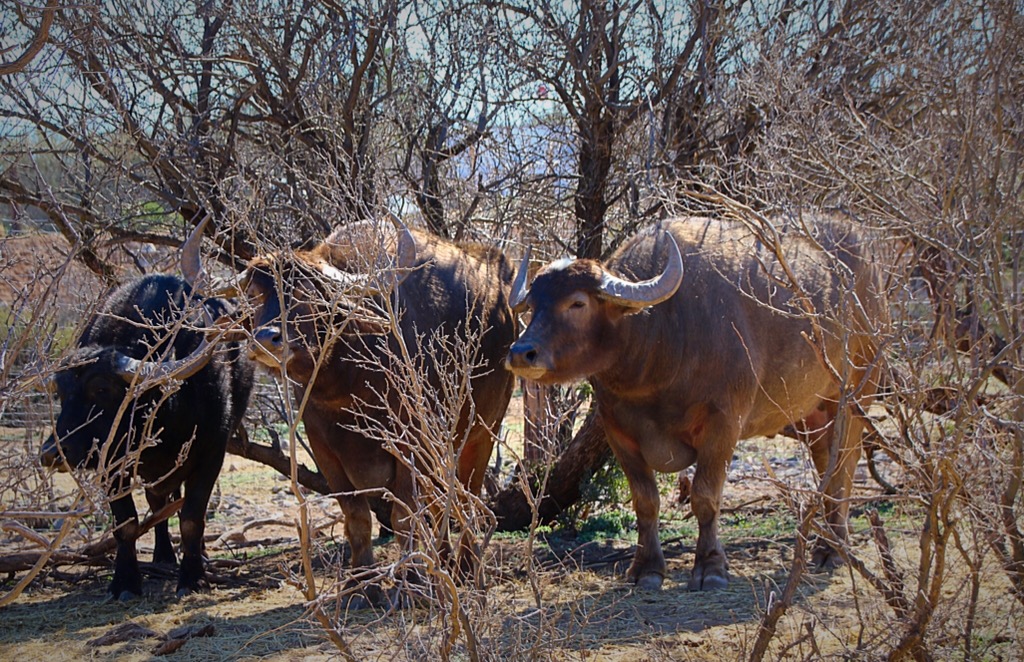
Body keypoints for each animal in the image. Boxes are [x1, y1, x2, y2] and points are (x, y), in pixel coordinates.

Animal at [40, 273, 255, 600]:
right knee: (158, 504)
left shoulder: (212, 453)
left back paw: (199, 556)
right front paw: (125, 582)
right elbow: (126, 523)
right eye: (61, 394)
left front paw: (192, 577)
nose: (52, 453)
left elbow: (192, 518)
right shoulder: (112, 465)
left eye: (101, 389)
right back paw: (163, 556)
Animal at [184, 217, 515, 598]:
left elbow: (404, 514)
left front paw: (410, 579)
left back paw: (466, 570)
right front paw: (361, 585)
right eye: (254, 296)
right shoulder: (324, 450)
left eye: (308, 295)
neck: (348, 389)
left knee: (468, 496)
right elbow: (356, 516)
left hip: (482, 431)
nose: (267, 340)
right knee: (439, 502)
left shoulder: (411, 442)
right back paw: (443, 564)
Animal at [505, 216, 887, 591]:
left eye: (577, 303)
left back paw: (833, 551)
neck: (658, 348)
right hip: (815, 412)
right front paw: (646, 568)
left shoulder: (723, 426)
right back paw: (827, 546)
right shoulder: (618, 431)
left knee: (843, 468)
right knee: (826, 464)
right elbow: (645, 500)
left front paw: (710, 567)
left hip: (855, 396)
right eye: (533, 305)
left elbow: (705, 496)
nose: (521, 353)